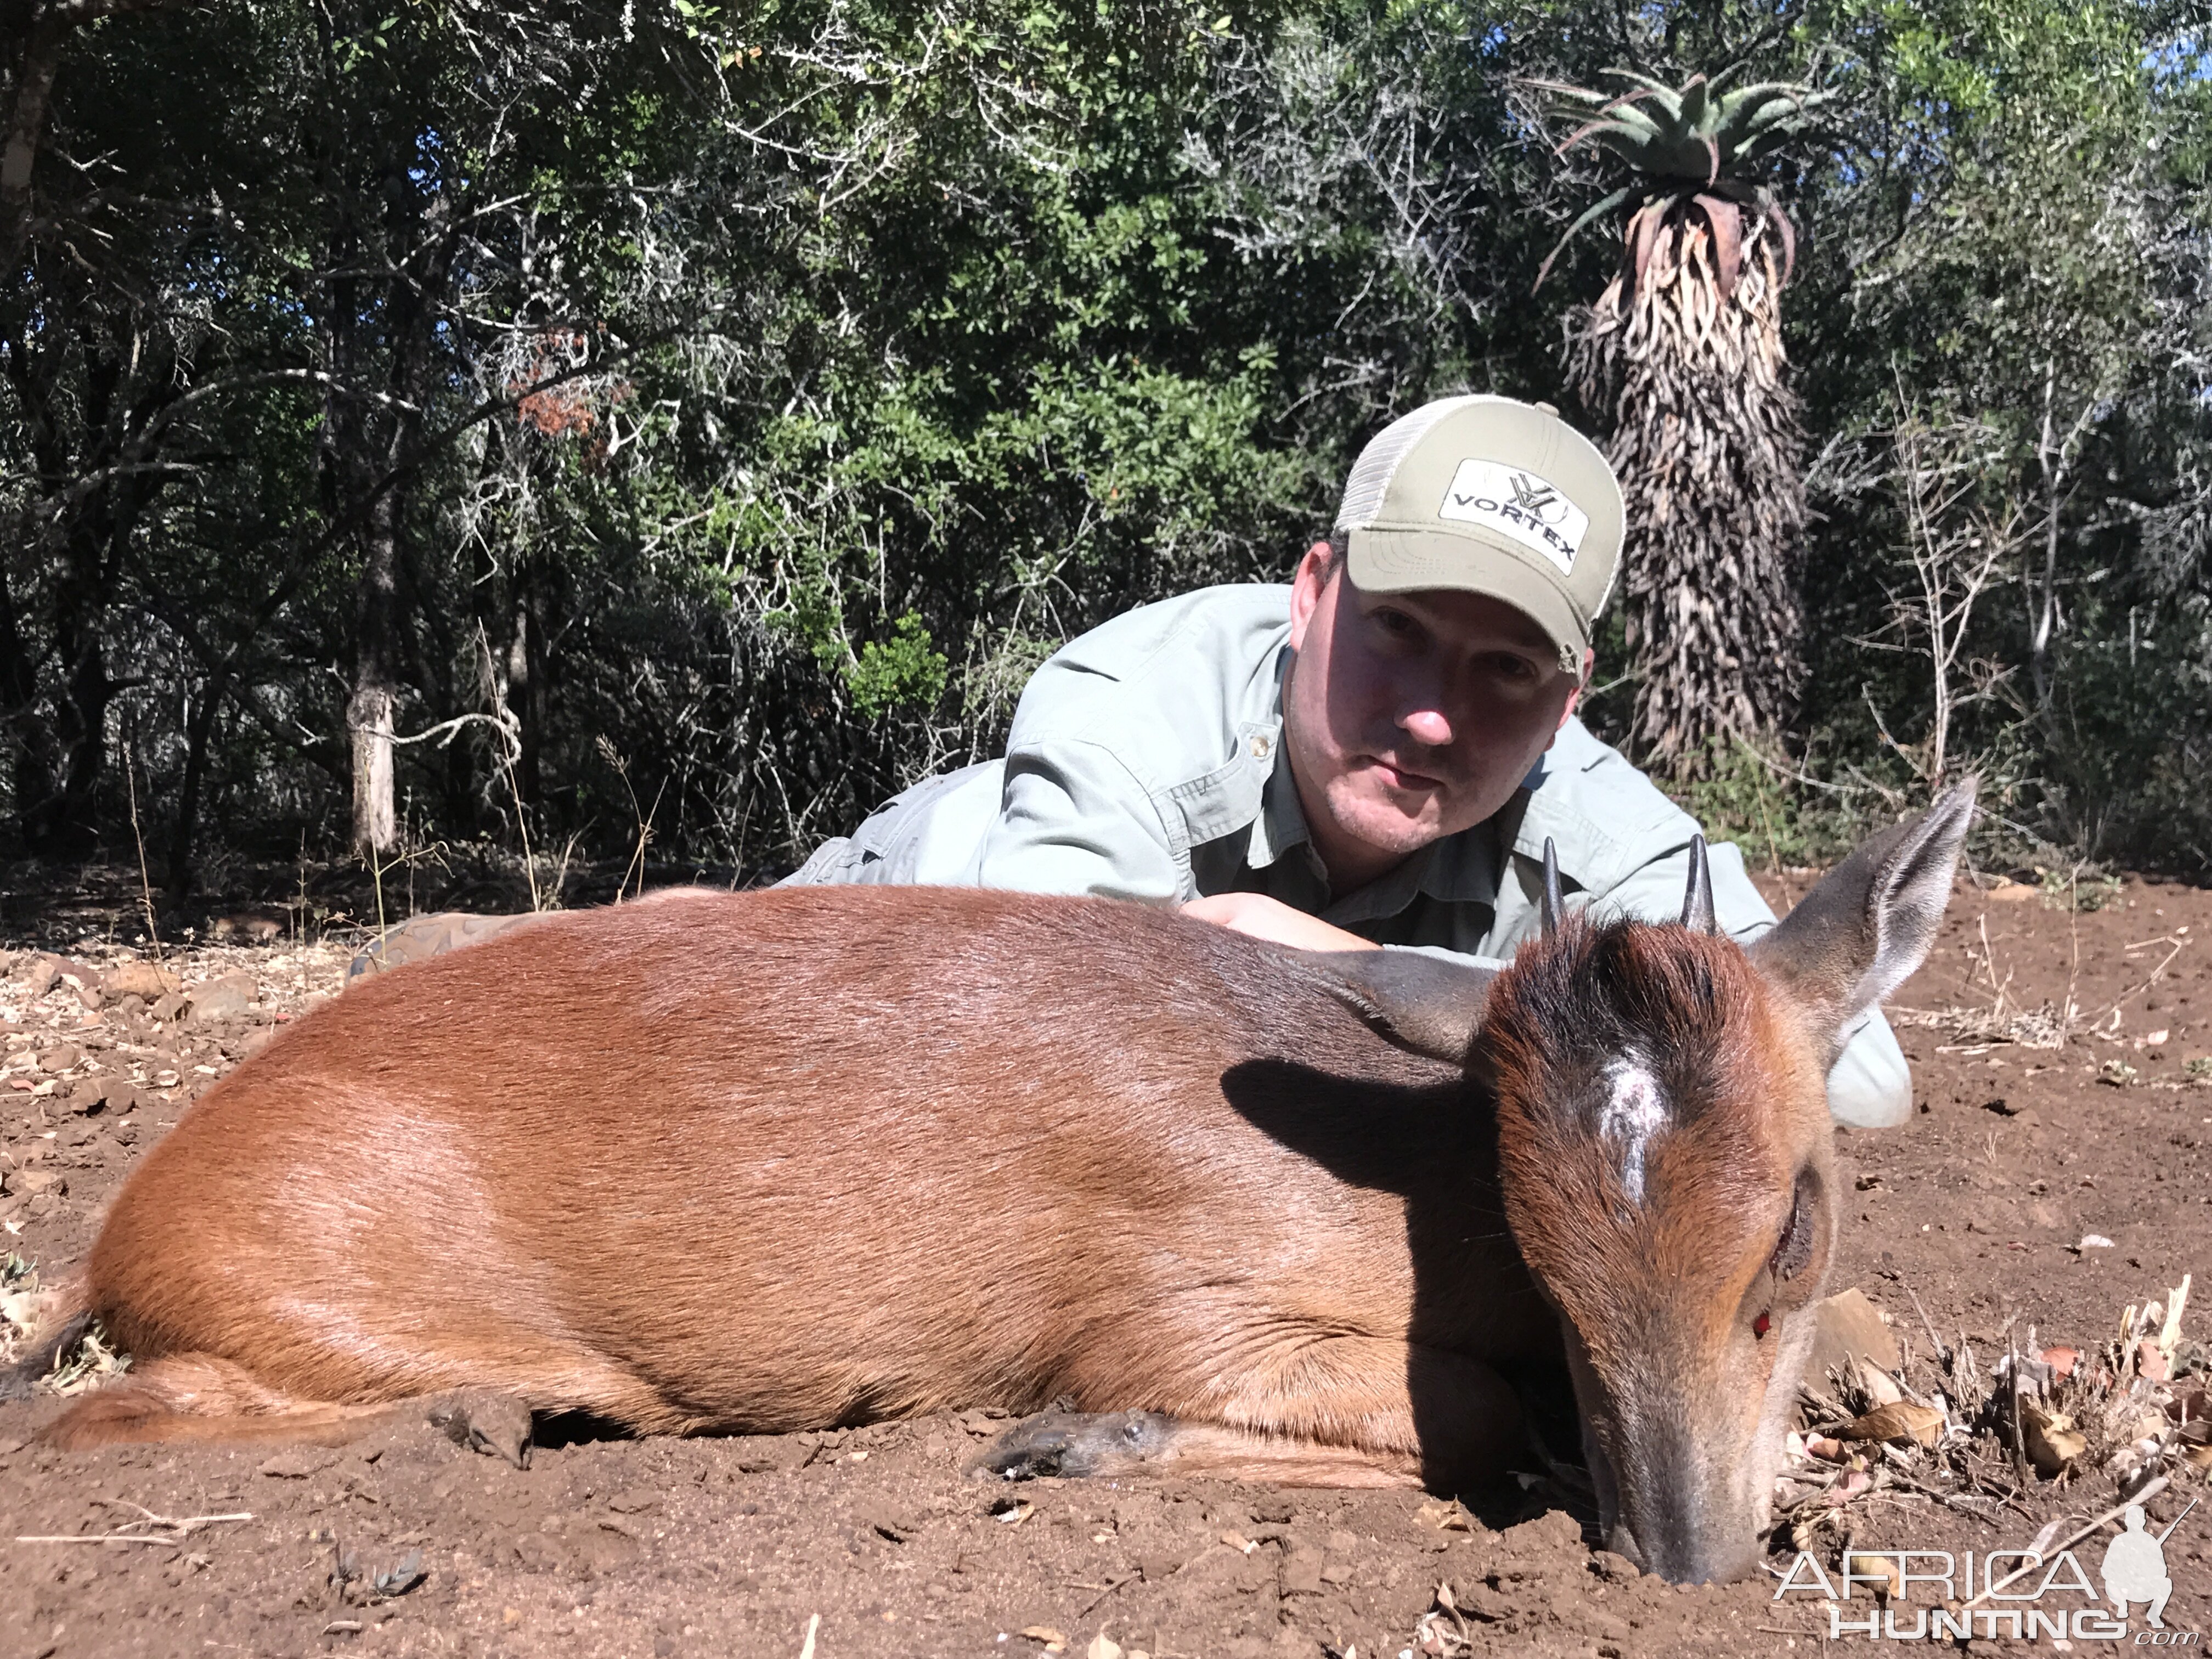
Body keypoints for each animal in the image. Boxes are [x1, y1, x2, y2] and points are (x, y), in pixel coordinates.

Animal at [0, 787, 1973, 1593]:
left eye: (1795, 1224)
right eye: (1548, 1261)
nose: (1684, 1569)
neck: (1407, 1165)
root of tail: (118, 1230)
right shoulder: (1169, 1305)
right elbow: (1472, 1420)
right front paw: (1064, 1443)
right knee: (94, 1422)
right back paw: (491, 1418)